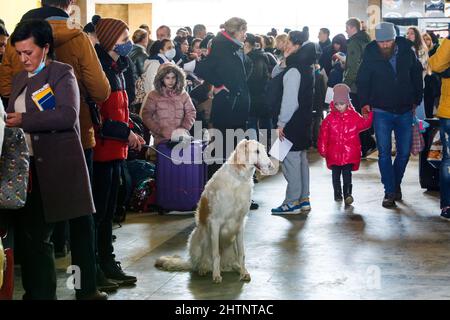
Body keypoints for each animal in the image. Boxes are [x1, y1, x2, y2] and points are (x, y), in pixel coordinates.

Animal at [155, 140, 274, 282]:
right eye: (256, 151)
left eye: (263, 150)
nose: (271, 166)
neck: (238, 179)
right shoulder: (215, 222)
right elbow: (216, 254)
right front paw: (216, 276)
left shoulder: (240, 224)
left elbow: (242, 254)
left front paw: (243, 272)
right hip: (198, 236)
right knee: (199, 264)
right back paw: (203, 269)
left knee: (231, 262)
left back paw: (236, 268)